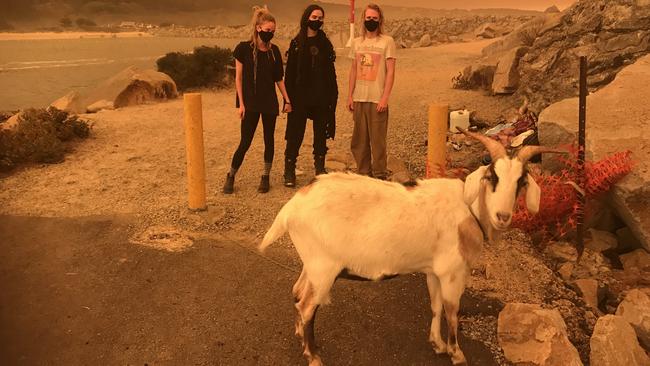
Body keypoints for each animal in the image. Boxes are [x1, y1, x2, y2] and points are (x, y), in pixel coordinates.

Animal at [258, 130, 556, 364]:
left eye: (521, 181)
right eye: (492, 176)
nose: (503, 216)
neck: (468, 209)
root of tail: (293, 206)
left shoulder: (434, 271)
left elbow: (435, 306)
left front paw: (437, 344)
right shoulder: (453, 273)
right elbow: (452, 312)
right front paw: (456, 354)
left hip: (311, 263)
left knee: (297, 293)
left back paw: (300, 335)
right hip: (324, 268)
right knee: (307, 306)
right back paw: (314, 356)